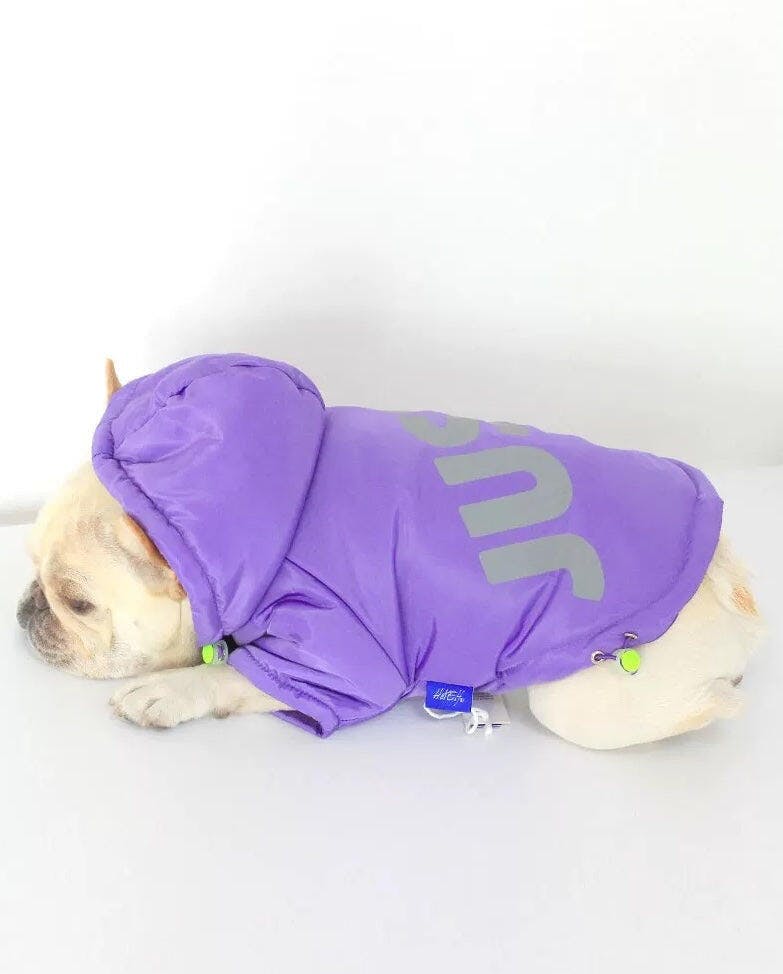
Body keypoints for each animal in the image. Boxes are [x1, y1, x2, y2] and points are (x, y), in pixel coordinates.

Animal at [16, 358, 763, 748]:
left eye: (78, 603)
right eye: (28, 565)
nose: (26, 611)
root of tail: (727, 576)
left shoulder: (340, 658)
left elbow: (237, 675)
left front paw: (173, 690)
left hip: (591, 693)